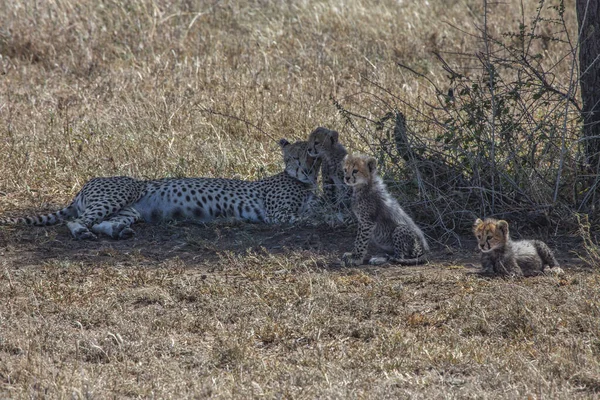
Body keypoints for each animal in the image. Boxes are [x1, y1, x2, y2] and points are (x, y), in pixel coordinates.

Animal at [0, 139, 318, 239]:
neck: (304, 182)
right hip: (120, 194)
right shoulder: (278, 214)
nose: (304, 170)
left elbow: (314, 210)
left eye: (311, 157)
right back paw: (82, 233)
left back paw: (119, 232)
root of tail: (86, 183)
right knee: (76, 220)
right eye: (294, 158)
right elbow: (307, 216)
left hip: (130, 211)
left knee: (102, 222)